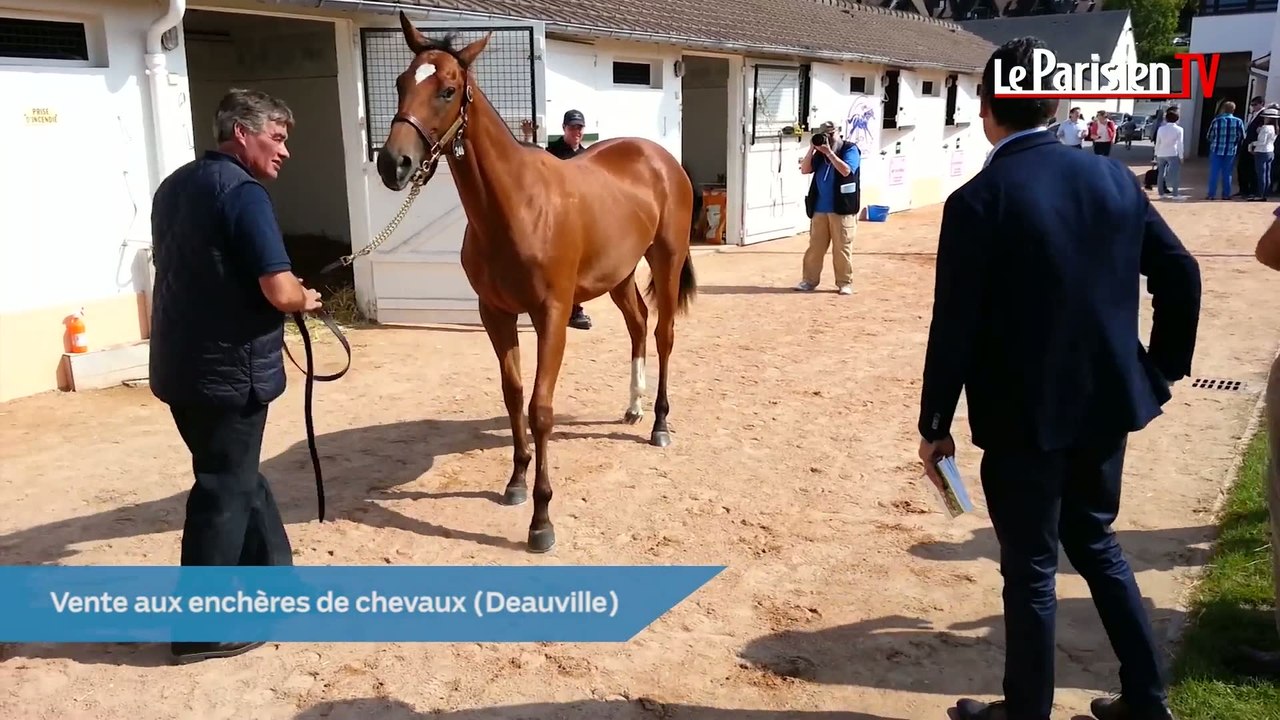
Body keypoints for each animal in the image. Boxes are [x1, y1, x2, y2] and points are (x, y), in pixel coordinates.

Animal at [375, 12, 697, 554]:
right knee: (637, 325)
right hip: (619, 274)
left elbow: (541, 407)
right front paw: (516, 481)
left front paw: (542, 519)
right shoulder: (495, 312)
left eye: (447, 89)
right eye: (400, 82)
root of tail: (660, 157)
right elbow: (513, 396)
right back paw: (632, 407)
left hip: (665, 260)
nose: (392, 164)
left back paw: (659, 423)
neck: (517, 207)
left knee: (663, 334)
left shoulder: (552, 315)